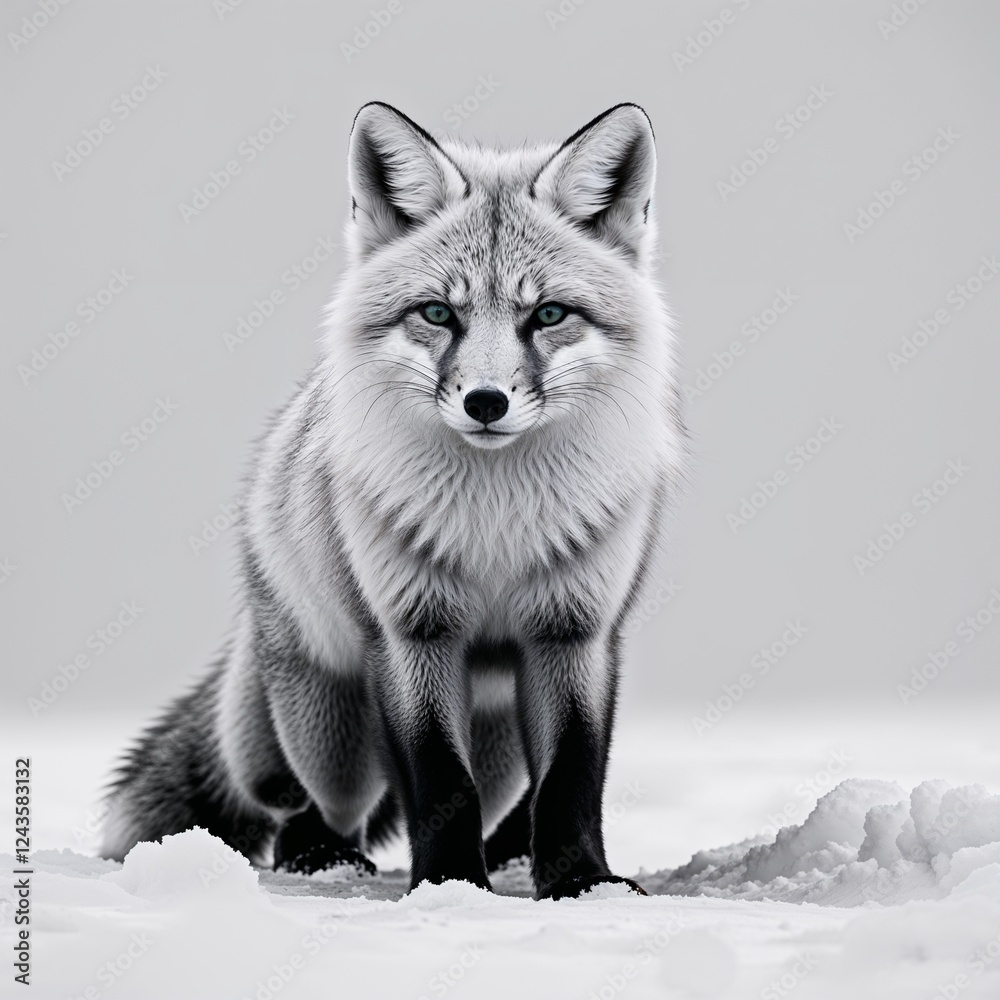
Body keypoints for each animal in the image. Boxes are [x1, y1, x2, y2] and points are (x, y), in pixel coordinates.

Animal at [101, 101, 687, 900]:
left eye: (548, 315)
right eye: (438, 314)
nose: (485, 402)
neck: (496, 530)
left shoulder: (575, 632)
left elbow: (571, 777)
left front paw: (581, 884)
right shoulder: (411, 631)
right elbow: (438, 779)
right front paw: (449, 886)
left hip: (498, 736)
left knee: (500, 793)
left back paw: (508, 854)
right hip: (329, 733)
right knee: (310, 807)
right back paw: (322, 858)